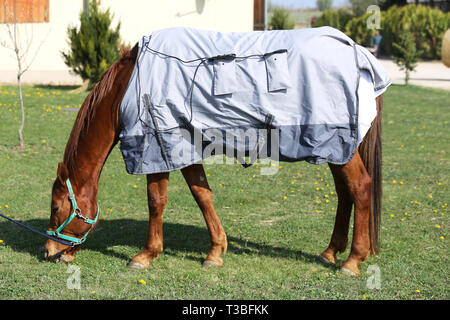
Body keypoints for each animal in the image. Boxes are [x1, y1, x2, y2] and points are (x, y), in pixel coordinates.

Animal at [44, 41, 384, 276]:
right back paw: (331, 251)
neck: (131, 85)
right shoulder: (184, 148)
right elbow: (202, 195)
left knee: (360, 188)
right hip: (336, 148)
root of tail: (359, 54)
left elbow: (156, 201)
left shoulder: (156, 147)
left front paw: (145, 255)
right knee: (345, 193)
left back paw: (353, 260)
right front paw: (216, 252)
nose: (50, 251)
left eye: (56, 208)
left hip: (337, 145)